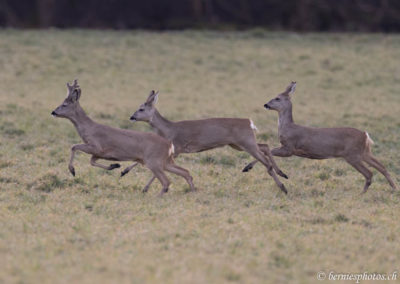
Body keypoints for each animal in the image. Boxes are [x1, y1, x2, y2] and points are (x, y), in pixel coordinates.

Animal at [50, 80, 196, 195]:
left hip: (154, 161)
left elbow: (74, 146)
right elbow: (92, 161)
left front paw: (72, 170)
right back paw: (193, 192)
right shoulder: (98, 153)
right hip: (166, 161)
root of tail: (169, 145)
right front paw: (114, 165)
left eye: (64, 105)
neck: (88, 129)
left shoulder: (96, 146)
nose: (53, 112)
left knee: (167, 182)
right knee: (186, 172)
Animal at [126, 90, 290, 194]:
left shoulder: (177, 148)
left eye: (141, 109)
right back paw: (281, 174)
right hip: (238, 144)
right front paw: (124, 171)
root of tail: (250, 122)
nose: (131, 117)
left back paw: (282, 186)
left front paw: (144, 188)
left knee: (266, 161)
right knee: (265, 146)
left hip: (246, 143)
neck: (168, 129)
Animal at [242, 82, 396, 193]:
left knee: (369, 173)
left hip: (352, 155)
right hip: (364, 152)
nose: (266, 104)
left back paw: (362, 193)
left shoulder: (290, 148)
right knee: (382, 167)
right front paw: (248, 168)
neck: (288, 127)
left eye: (277, 98)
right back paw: (394, 188)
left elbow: (269, 151)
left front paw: (248, 167)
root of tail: (365, 135)